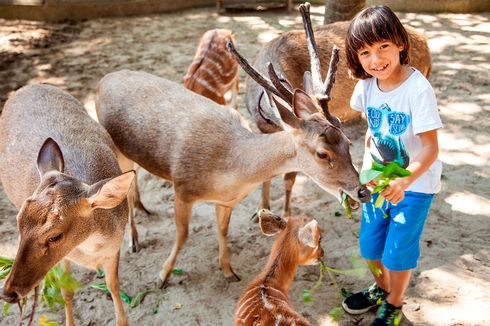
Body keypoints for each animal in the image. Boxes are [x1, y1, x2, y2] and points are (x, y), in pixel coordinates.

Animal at [0, 84, 134, 326]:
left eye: (55, 236)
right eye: (18, 222)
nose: (8, 292)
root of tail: (26, 87)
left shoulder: (113, 249)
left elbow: (114, 287)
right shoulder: (66, 258)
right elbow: (66, 292)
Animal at [95, 28, 370, 286]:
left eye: (347, 141)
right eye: (322, 153)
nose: (362, 192)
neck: (231, 170)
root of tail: (103, 81)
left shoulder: (226, 201)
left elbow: (223, 230)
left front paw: (228, 271)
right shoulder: (182, 188)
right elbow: (183, 236)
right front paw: (162, 276)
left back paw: (143, 208)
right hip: (116, 149)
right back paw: (134, 240)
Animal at [247, 2, 430, 219]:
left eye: (348, 142)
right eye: (322, 154)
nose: (362, 193)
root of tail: (426, 43)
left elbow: (289, 178)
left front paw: (287, 215)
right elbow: (265, 174)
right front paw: (260, 210)